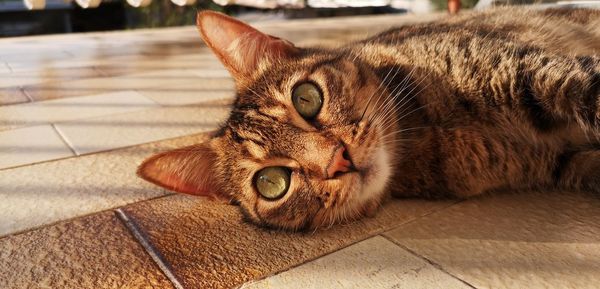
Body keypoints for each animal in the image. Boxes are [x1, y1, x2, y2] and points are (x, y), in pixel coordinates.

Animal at [138, 7, 600, 230]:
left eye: (307, 97)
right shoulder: (565, 160)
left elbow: (587, 88)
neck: (427, 136)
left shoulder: (523, 70)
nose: (338, 159)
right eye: (271, 183)